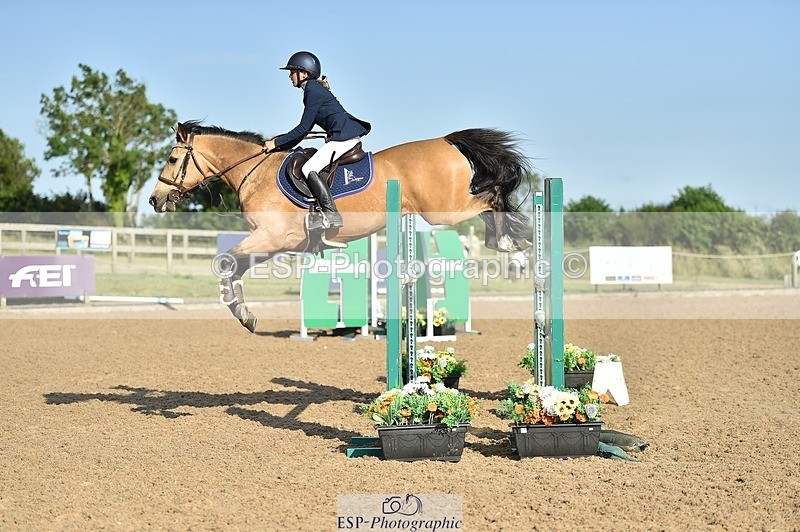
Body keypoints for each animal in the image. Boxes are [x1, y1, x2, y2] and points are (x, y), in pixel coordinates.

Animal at [149, 121, 532, 332]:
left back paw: (512, 243)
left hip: (444, 211)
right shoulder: (273, 242)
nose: (155, 200)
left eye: (171, 158)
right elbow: (233, 265)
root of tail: (447, 140)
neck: (254, 173)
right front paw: (243, 313)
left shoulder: (272, 236)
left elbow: (224, 261)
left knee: (490, 197)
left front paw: (239, 309)